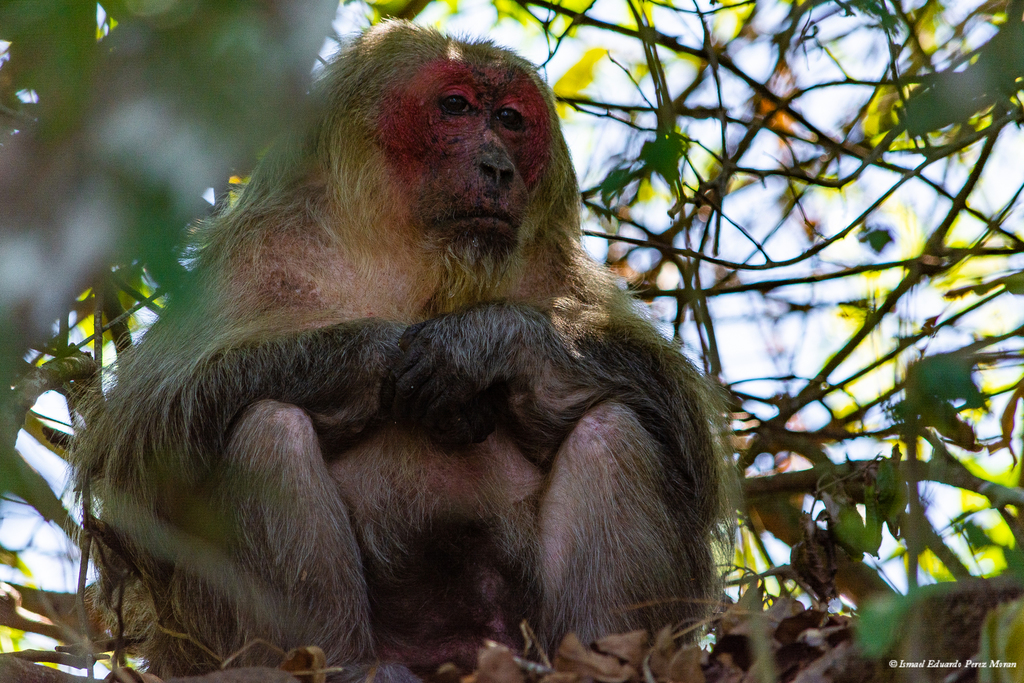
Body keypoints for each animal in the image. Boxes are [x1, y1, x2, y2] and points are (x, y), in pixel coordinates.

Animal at [73, 20, 733, 683]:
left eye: (510, 119)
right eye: (456, 107)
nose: (498, 167)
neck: (415, 259)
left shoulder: (551, 266)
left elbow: (680, 432)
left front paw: (485, 342)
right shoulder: (258, 253)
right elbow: (145, 445)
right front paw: (376, 355)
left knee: (611, 429)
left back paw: (601, 659)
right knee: (266, 431)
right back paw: (329, 663)